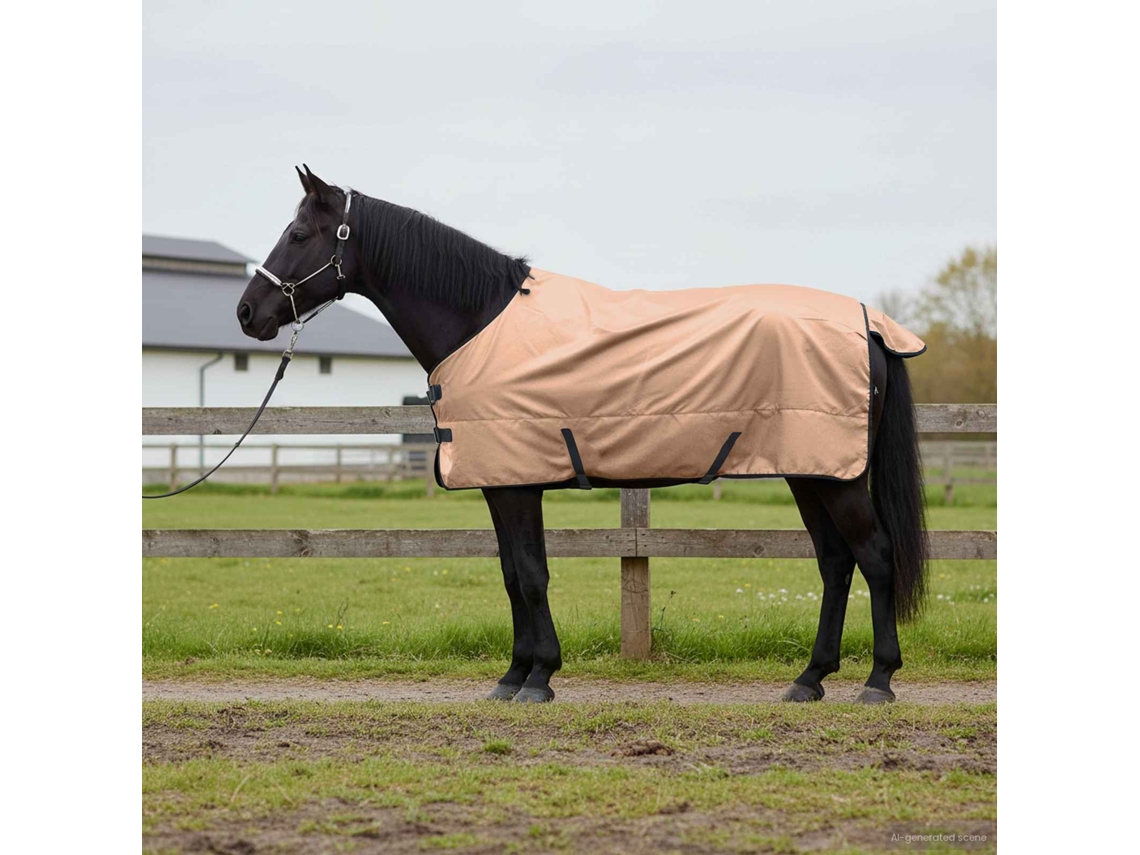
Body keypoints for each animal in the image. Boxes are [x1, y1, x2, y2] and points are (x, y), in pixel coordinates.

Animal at [237, 165, 929, 705]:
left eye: (298, 234)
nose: (248, 313)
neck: (479, 320)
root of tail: (868, 324)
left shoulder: (517, 484)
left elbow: (530, 575)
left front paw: (538, 678)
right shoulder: (503, 483)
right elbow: (513, 573)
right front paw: (515, 675)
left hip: (835, 477)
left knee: (875, 556)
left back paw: (878, 681)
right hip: (811, 471)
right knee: (835, 562)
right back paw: (809, 680)